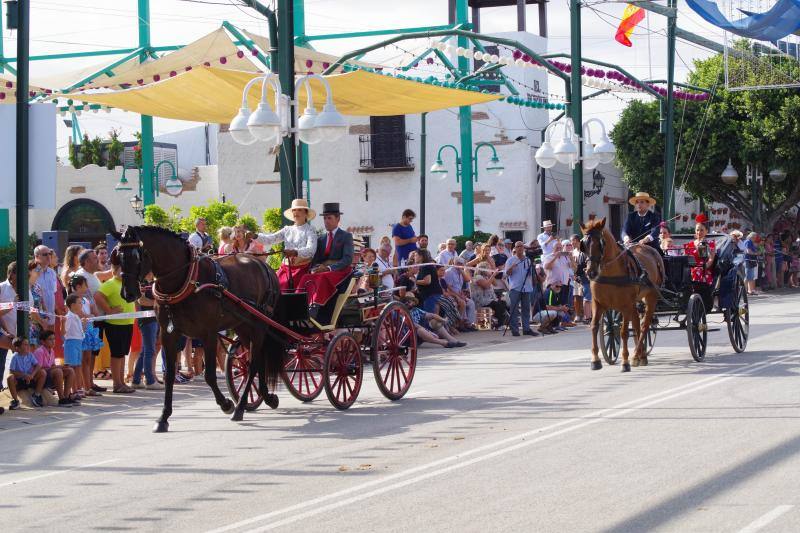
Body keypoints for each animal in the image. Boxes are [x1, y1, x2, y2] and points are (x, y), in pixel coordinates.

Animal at [112, 225, 284, 432]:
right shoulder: (169, 334)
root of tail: (263, 265)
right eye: (119, 256)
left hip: (259, 325)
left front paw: (226, 404)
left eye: (137, 256)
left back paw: (240, 407)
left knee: (254, 365)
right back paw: (266, 398)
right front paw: (163, 417)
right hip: (242, 325)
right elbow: (170, 375)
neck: (187, 281)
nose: (128, 293)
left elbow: (209, 375)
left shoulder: (208, 334)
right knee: (254, 362)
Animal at [580, 216, 664, 370]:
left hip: (651, 297)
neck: (610, 273)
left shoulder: (625, 305)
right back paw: (640, 355)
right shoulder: (598, 304)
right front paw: (595, 360)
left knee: (644, 326)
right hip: (635, 302)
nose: (591, 272)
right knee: (637, 324)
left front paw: (625, 362)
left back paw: (636, 355)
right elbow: (594, 327)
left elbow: (623, 332)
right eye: (583, 244)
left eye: (601, 243)